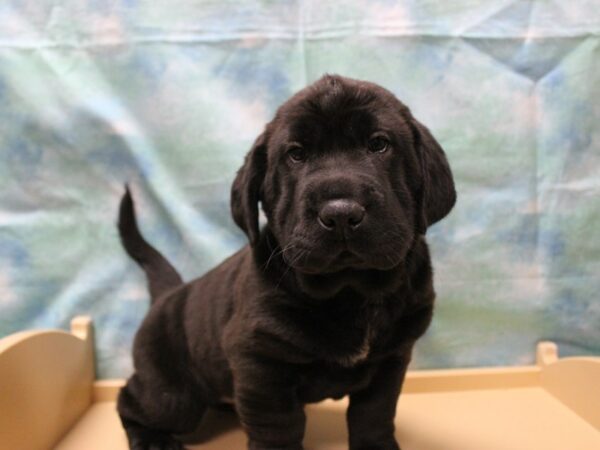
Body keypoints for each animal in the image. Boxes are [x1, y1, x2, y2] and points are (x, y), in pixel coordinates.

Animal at [117, 74, 454, 450]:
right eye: (296, 154)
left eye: (379, 144)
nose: (340, 213)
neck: (351, 292)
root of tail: (166, 295)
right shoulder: (261, 362)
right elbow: (278, 427)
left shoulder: (391, 359)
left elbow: (375, 414)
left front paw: (377, 446)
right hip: (173, 395)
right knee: (131, 400)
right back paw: (152, 440)